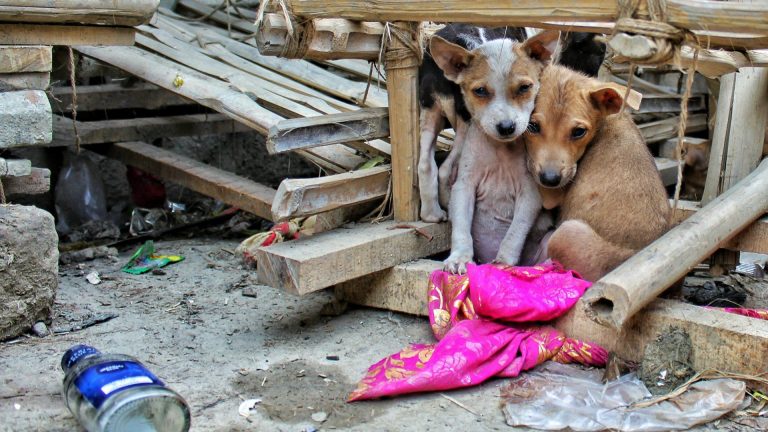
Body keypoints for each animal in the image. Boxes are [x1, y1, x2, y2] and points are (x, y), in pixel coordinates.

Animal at [524, 64, 668, 280]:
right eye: (532, 126)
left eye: (578, 132)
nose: (550, 179)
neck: (605, 121)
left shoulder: (552, 194)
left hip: (566, 232)